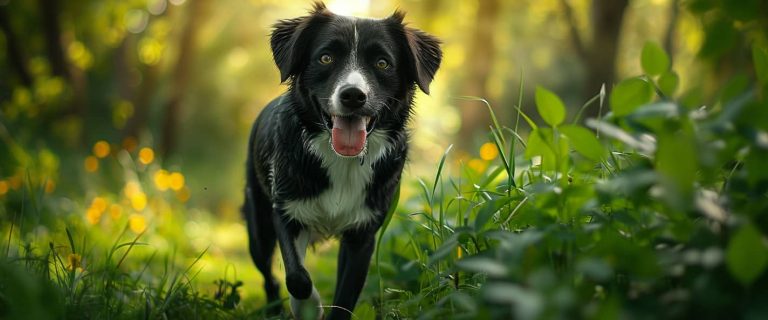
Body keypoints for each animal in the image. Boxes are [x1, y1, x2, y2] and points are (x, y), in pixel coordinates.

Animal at [243, 3, 440, 320]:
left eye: (383, 63)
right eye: (326, 58)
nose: (353, 96)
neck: (342, 160)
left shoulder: (363, 233)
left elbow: (346, 295)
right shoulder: (285, 211)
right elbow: (296, 276)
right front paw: (308, 305)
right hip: (257, 224)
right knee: (269, 274)